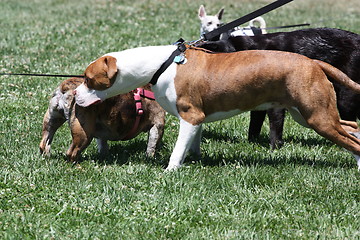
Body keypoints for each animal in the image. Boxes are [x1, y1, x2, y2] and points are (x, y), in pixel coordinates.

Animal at [74, 44, 360, 171]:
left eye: (89, 79)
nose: (75, 94)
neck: (160, 64)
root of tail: (313, 62)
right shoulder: (196, 119)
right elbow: (193, 144)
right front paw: (195, 160)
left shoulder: (190, 116)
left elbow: (177, 150)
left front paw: (170, 171)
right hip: (308, 114)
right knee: (351, 127)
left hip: (317, 117)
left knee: (349, 138)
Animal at [197, 27, 360, 148]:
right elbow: (254, 126)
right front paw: (252, 144)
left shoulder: (276, 105)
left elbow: (274, 127)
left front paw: (274, 149)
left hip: (345, 98)